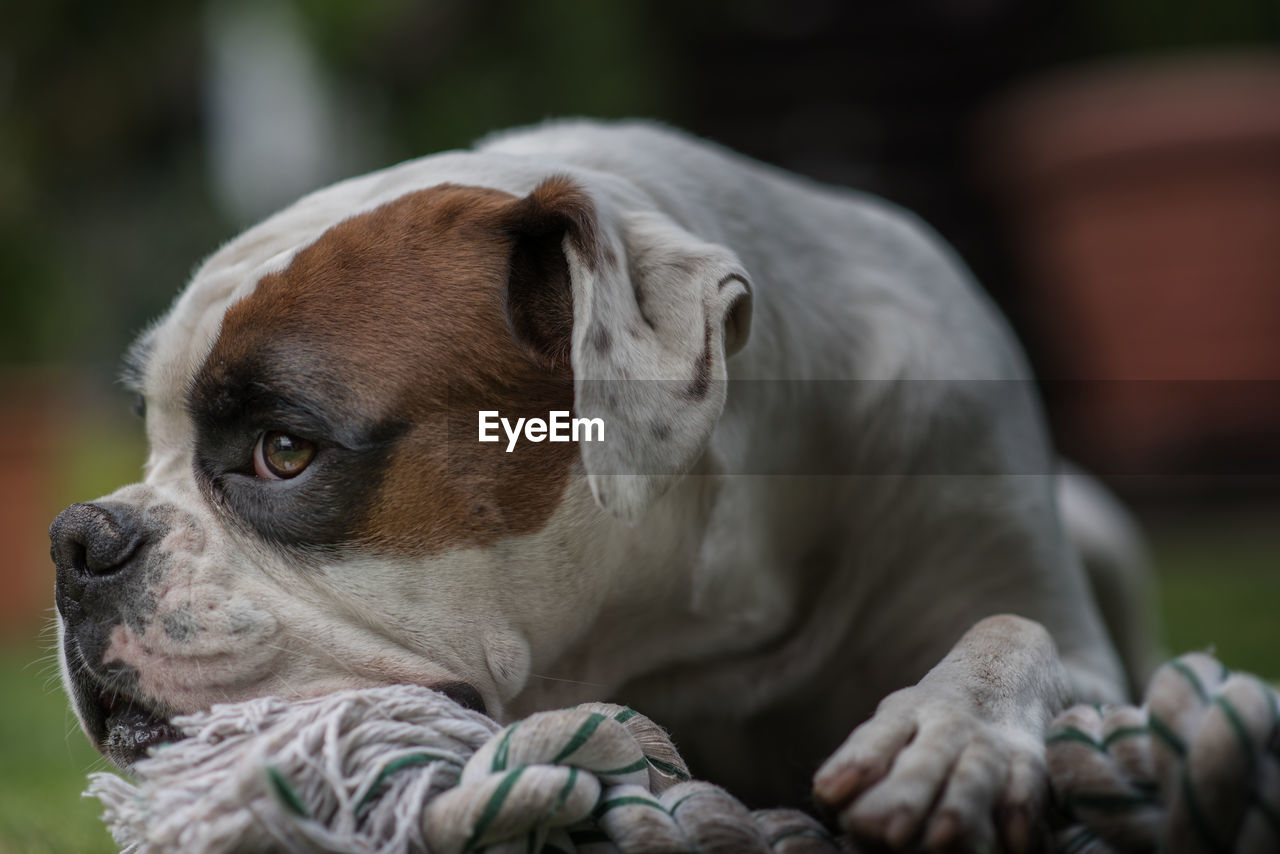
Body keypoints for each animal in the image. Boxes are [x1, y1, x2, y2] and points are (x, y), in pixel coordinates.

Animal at [52, 120, 1152, 850]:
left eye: (284, 450)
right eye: (149, 434)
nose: (78, 538)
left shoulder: (1047, 606)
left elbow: (1018, 631)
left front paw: (953, 734)